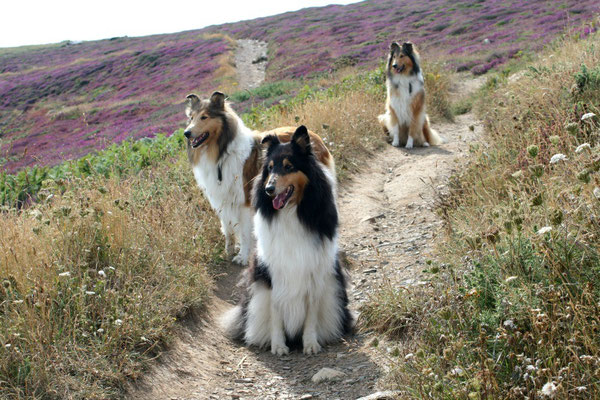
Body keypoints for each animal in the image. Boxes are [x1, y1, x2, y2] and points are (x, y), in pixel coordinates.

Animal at [184, 92, 332, 264]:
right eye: (191, 117)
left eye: (204, 117)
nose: (186, 133)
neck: (221, 154)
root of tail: (316, 136)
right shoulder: (221, 199)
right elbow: (227, 228)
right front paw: (229, 250)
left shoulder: (243, 201)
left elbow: (244, 232)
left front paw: (242, 256)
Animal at [220, 126, 352, 354]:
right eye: (270, 168)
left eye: (289, 166)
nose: (268, 190)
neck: (292, 212)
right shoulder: (273, 273)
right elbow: (276, 310)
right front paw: (278, 346)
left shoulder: (314, 270)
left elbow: (311, 312)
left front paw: (310, 344)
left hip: (333, 288)